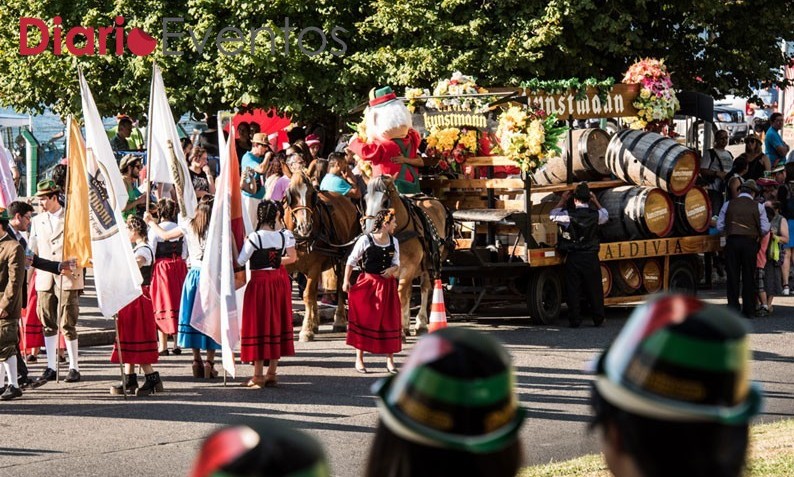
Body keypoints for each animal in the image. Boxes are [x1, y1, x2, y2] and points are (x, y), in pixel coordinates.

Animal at [284, 169, 360, 340]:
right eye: (290, 193)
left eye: (313, 194)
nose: (305, 227)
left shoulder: (314, 266)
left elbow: (308, 294)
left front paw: (306, 330)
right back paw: (315, 322)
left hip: (343, 258)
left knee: (340, 287)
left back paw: (339, 320)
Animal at [366, 176, 452, 334]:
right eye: (365, 199)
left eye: (385, 202)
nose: (371, 230)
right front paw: (400, 325)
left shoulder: (409, 268)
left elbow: (401, 295)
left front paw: (401, 329)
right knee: (411, 291)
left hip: (428, 263)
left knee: (425, 288)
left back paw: (421, 322)